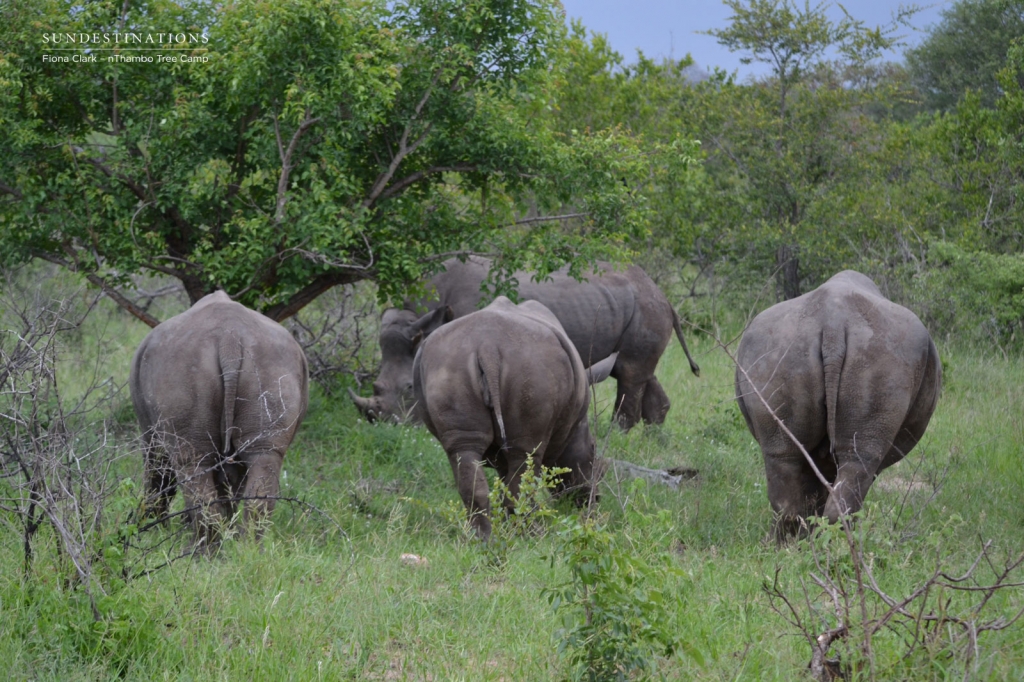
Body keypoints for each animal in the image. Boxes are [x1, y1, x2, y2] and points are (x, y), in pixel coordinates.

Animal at [130, 291, 309, 541]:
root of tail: (229, 339)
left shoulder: (150, 432)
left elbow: (159, 474)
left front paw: (152, 529)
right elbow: (231, 485)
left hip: (183, 369)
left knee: (189, 463)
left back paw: (201, 548)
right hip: (272, 366)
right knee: (264, 456)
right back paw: (248, 547)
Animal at [350, 257, 699, 429]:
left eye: (409, 387)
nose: (379, 422)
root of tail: (663, 295)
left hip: (646, 308)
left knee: (630, 375)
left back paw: (617, 436)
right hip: (636, 307)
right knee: (635, 371)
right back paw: (652, 441)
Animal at [413, 296, 617, 539]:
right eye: (593, 450)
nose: (593, 499)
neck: (579, 426)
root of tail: (487, 346)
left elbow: (503, 478)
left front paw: (505, 522)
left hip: (450, 365)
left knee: (463, 449)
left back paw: (482, 538)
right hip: (531, 367)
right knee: (526, 453)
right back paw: (533, 533)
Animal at [735, 271, 941, 538]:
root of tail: (833, 324)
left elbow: (813, 487)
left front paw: (808, 533)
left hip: (780, 352)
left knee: (783, 455)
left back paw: (784, 543)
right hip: (880, 358)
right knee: (857, 460)